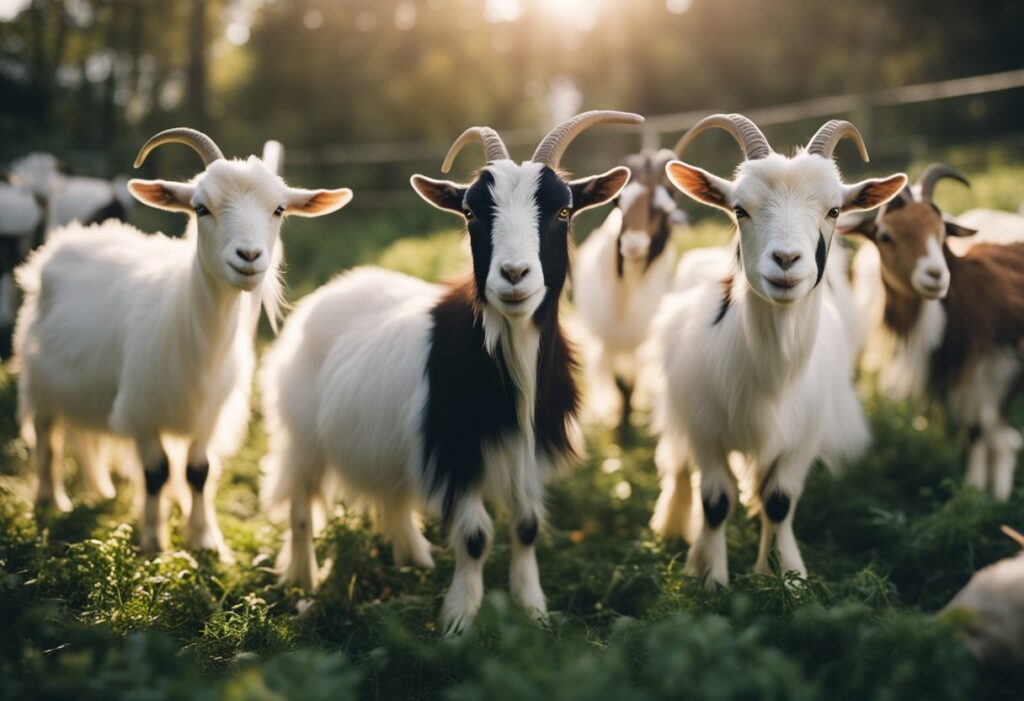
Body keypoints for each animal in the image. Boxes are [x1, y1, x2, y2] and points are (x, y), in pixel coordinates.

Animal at [14, 128, 351, 558]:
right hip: (38, 378)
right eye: (200, 208)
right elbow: (156, 473)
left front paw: (205, 539)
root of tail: (69, 237)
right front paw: (154, 544)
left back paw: (99, 488)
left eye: (278, 209)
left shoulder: (209, 413)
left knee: (85, 434)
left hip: (84, 384)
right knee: (47, 438)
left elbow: (197, 473)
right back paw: (51, 500)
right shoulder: (141, 410)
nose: (249, 256)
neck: (198, 340)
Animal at [260, 111, 640, 633]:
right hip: (301, 432)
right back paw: (302, 579)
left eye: (563, 212)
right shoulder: (456, 450)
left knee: (393, 496)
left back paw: (412, 560)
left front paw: (533, 610)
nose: (514, 275)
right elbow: (476, 536)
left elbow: (526, 527)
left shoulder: (528, 451)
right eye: (471, 213)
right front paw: (459, 619)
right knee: (300, 505)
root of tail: (330, 290)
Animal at [572, 148, 684, 428]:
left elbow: (631, 386)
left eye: (663, 208)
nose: (633, 245)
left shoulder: (639, 343)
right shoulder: (608, 340)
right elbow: (619, 385)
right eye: (618, 203)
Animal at [650, 114, 906, 587]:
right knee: (677, 466)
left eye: (834, 210)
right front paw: (710, 577)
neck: (772, 377)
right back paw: (675, 528)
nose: (786, 260)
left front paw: (785, 575)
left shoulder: (802, 438)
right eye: (739, 209)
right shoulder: (706, 431)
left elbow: (779, 502)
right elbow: (715, 501)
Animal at [843, 165, 1024, 500]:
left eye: (942, 231)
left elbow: (987, 436)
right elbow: (978, 435)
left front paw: (988, 500)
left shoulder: (994, 373)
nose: (936, 275)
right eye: (885, 235)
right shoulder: (956, 378)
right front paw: (975, 495)